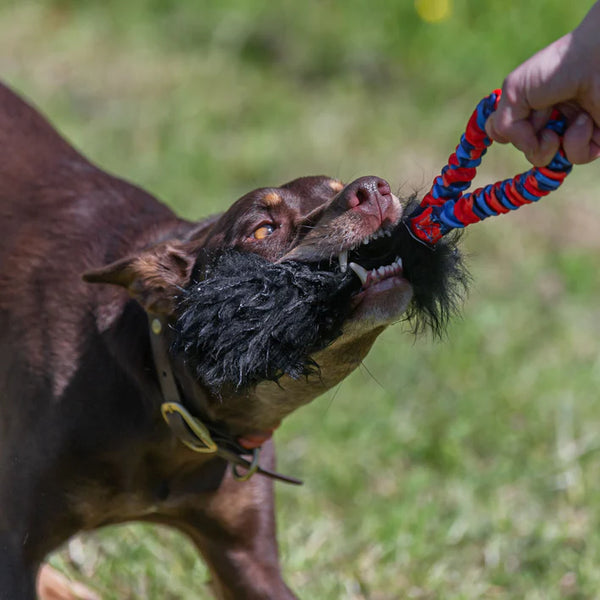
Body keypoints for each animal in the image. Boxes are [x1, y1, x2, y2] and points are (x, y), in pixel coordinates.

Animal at [0, 84, 464, 600]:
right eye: (263, 229)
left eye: (337, 186)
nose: (373, 188)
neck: (164, 396)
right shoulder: (15, 547)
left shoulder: (246, 558)